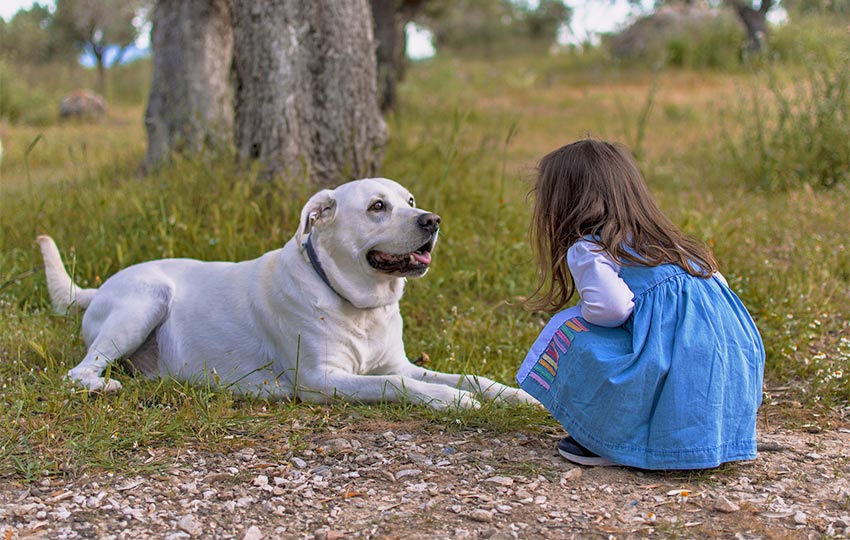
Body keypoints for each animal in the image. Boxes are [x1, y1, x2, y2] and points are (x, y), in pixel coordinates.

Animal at [39, 177, 532, 410]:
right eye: (377, 206)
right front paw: (452, 401)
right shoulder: (321, 379)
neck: (358, 305)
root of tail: (97, 288)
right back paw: (102, 386)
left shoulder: (399, 362)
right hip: (146, 301)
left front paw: (514, 395)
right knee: (78, 372)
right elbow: (397, 385)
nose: (432, 220)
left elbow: (468, 376)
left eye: (409, 201)